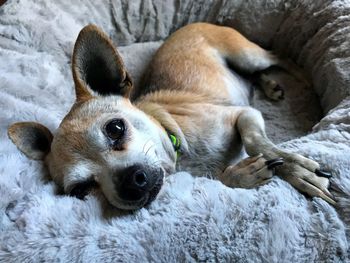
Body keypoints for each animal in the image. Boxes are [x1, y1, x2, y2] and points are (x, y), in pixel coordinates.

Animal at [8, 23, 334, 211]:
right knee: (257, 74)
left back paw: (304, 83)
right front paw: (241, 174)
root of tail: (191, 22)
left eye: (115, 128)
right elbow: (225, 176)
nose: (130, 184)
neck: (180, 156)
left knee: (280, 57)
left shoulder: (245, 114)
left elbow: (257, 143)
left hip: (248, 54)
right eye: (81, 190)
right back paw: (269, 85)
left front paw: (296, 169)